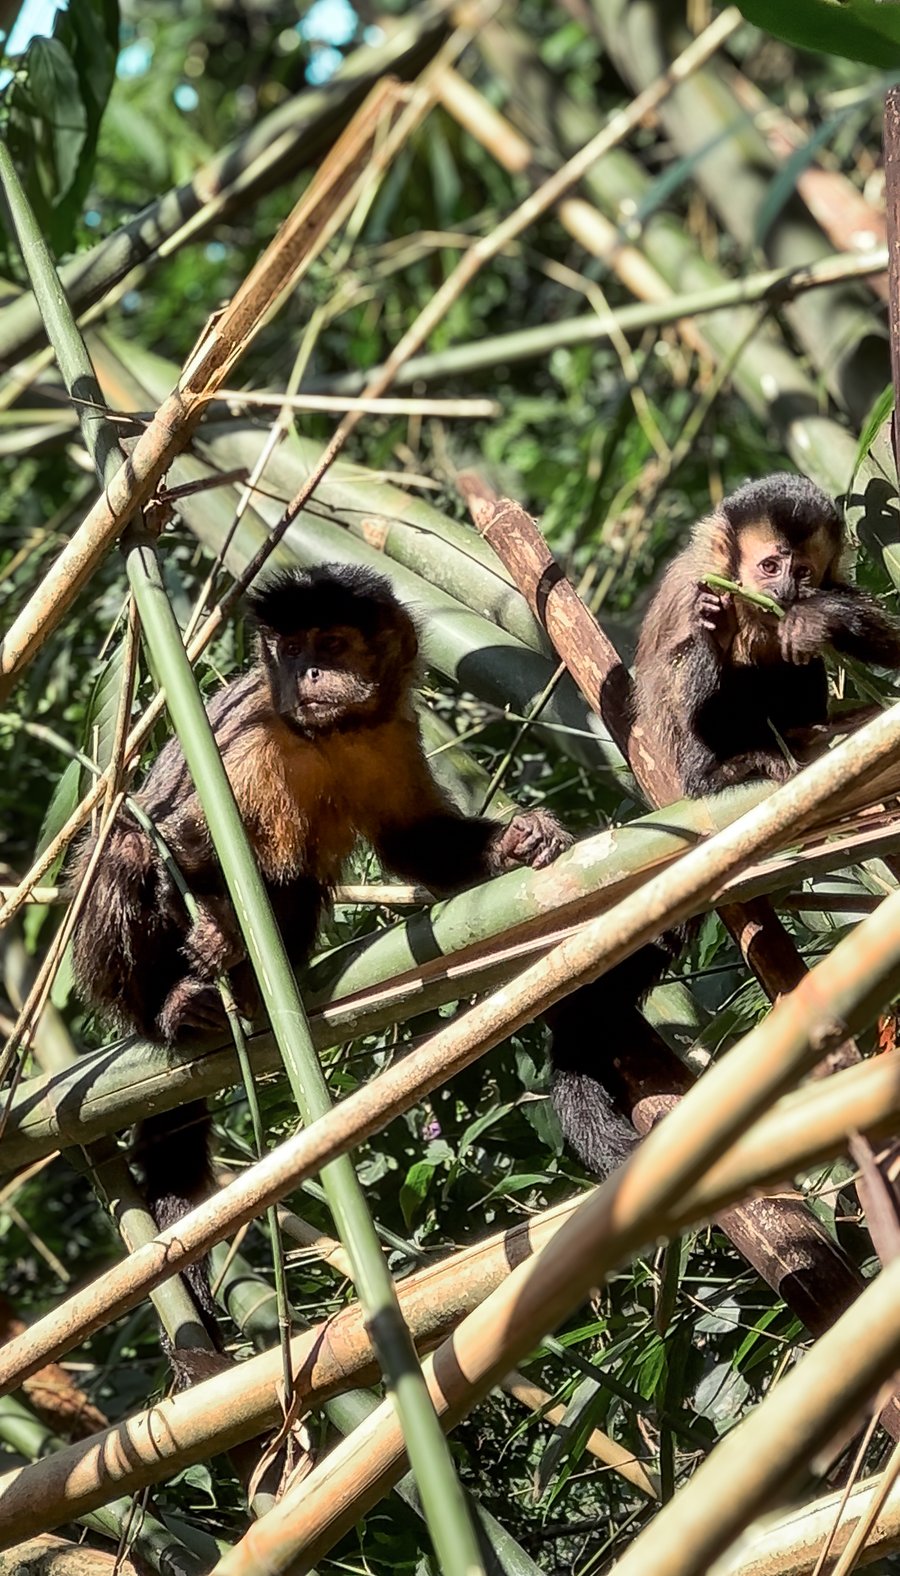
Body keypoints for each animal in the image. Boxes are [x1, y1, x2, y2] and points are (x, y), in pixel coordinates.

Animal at [70, 563, 570, 1358]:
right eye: (292, 648)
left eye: (331, 643)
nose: (306, 671)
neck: (326, 733)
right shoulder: (245, 730)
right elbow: (177, 843)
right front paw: (216, 933)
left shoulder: (392, 729)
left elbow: (413, 842)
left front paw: (521, 840)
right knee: (125, 839)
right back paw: (173, 1008)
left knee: (293, 879)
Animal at [547, 473, 900, 1182]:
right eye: (767, 566)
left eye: (801, 569)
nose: (784, 588)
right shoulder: (695, 586)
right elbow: (683, 657)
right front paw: (717, 627)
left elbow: (861, 631)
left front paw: (817, 618)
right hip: (678, 775)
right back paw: (726, 770)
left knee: (794, 665)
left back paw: (800, 727)